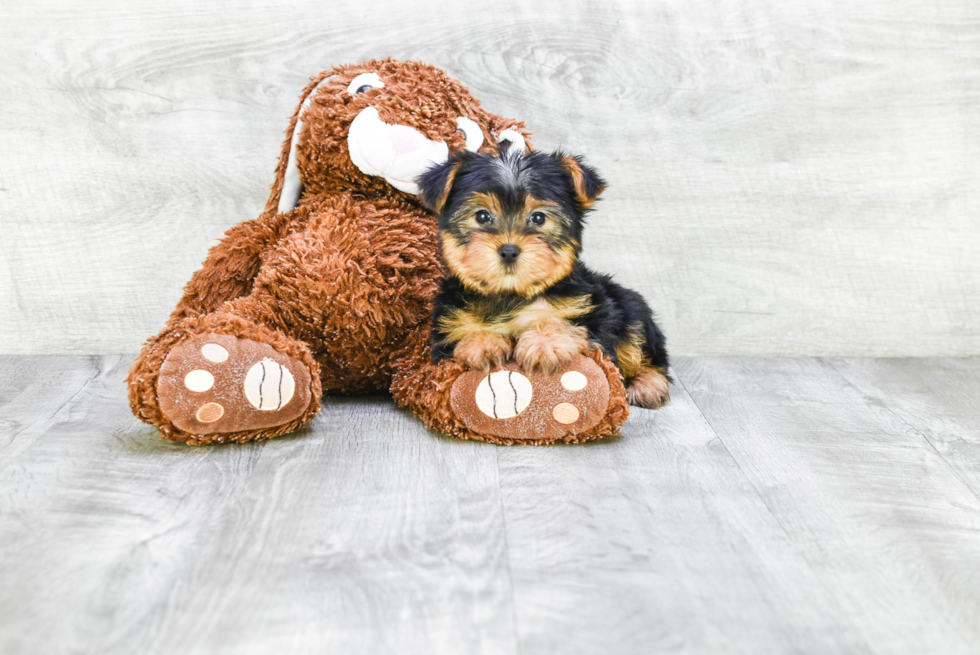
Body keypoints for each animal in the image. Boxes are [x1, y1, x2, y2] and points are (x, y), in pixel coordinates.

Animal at [418, 147, 668, 410]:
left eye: (538, 218)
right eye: (482, 216)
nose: (509, 250)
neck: (511, 295)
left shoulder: (589, 316)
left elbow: (565, 324)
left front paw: (544, 343)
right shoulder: (446, 328)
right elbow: (463, 334)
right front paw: (482, 342)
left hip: (630, 309)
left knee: (642, 350)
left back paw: (647, 385)